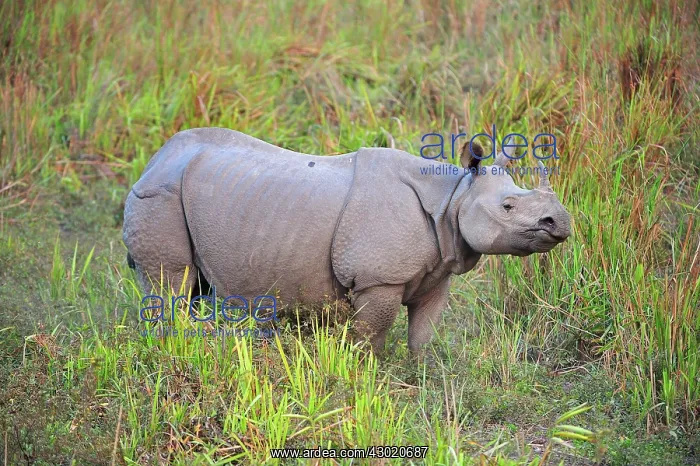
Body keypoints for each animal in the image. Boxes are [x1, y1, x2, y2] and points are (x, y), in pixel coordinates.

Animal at [123, 127, 571, 352]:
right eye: (508, 206)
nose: (561, 221)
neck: (454, 196)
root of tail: (154, 161)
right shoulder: (378, 279)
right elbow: (372, 333)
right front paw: (368, 375)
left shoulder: (438, 272)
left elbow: (423, 334)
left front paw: (420, 375)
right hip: (160, 195)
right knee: (171, 282)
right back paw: (171, 350)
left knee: (193, 288)